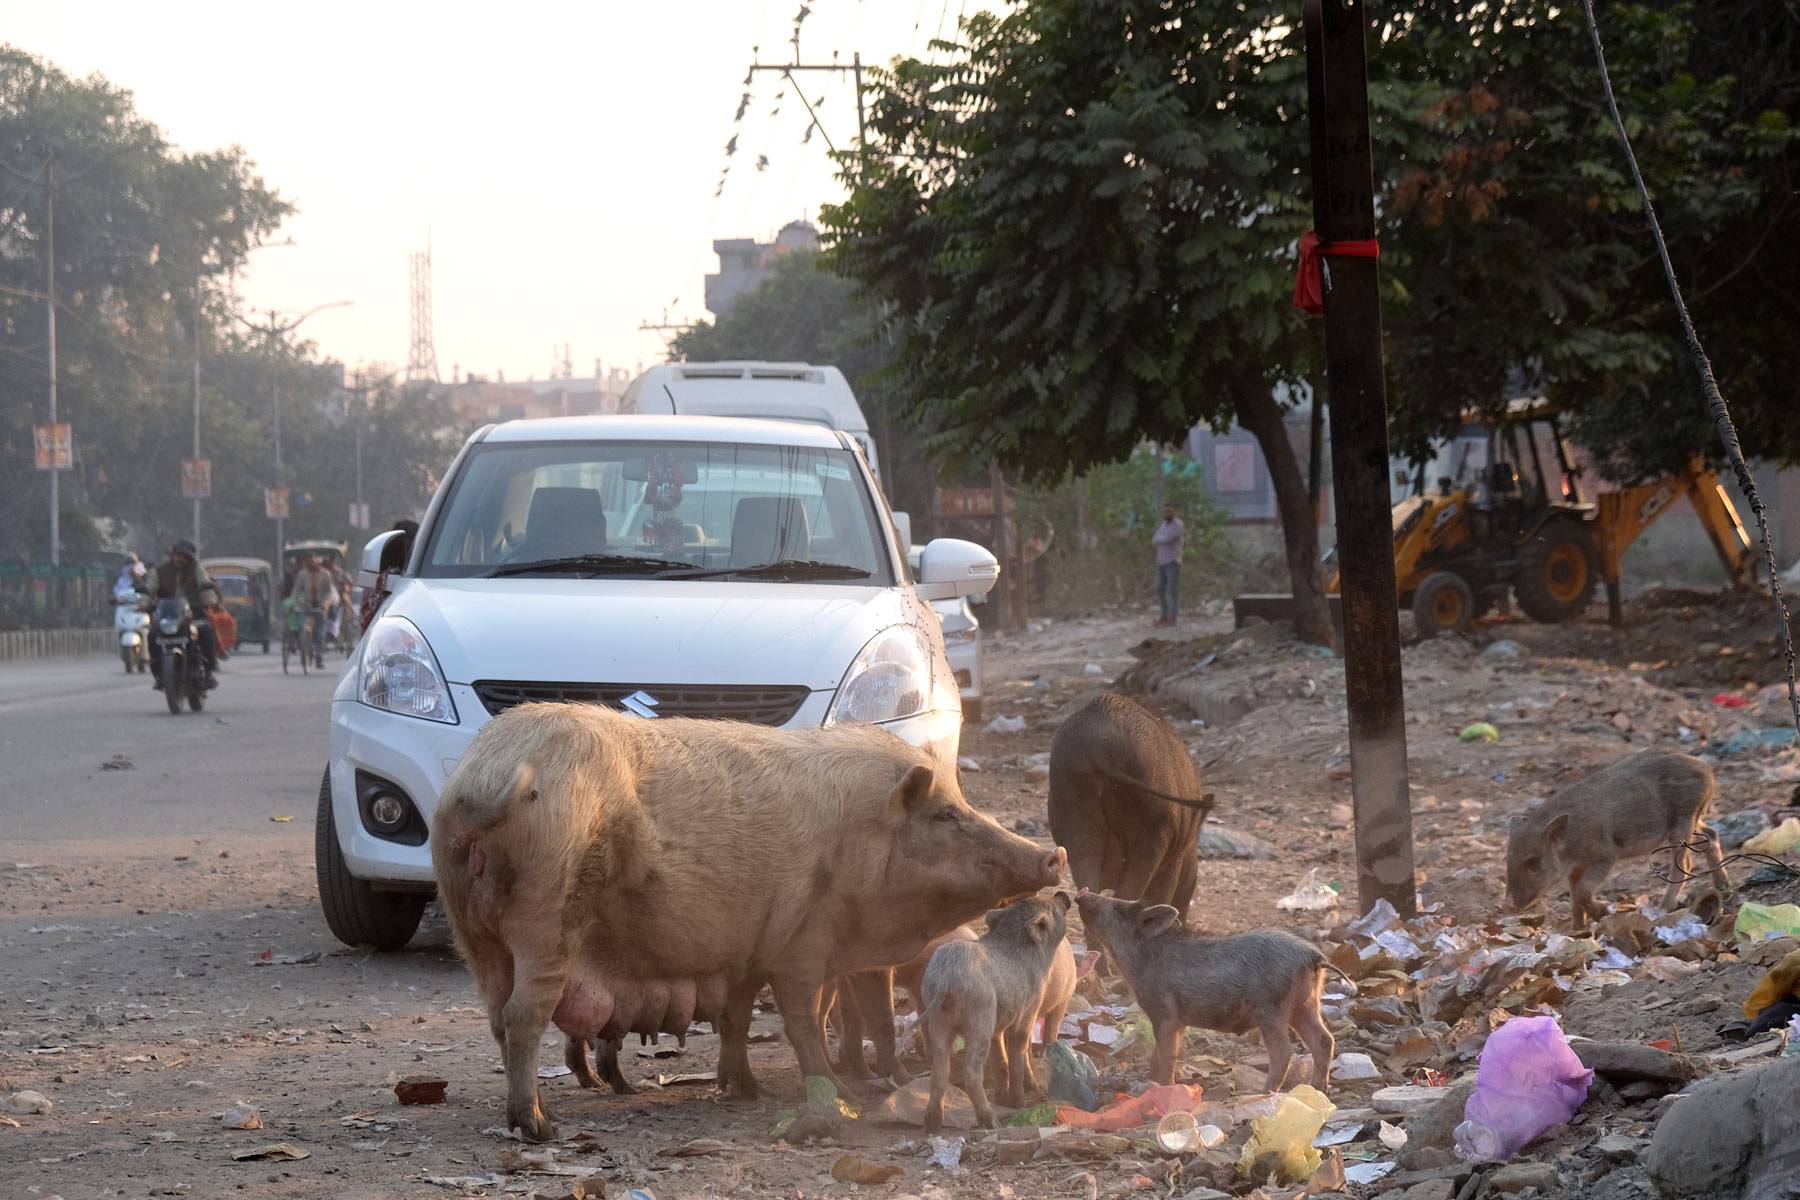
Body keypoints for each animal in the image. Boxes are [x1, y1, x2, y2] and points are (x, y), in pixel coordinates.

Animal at [428, 705, 1058, 1144]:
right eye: (947, 815)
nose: (1054, 855)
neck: (857, 840)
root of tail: (488, 777)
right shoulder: (804, 940)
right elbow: (805, 1022)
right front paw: (837, 1096)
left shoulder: (753, 949)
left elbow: (737, 1017)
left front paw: (743, 1092)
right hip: (547, 911)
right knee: (524, 1017)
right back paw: (541, 1127)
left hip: (474, 932)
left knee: (496, 1017)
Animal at [1051, 690, 1216, 913]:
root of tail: (1100, 747)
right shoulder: (1173, 863)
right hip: (1150, 836)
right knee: (1127, 896)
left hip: (1077, 825)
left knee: (1088, 890)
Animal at [1065, 892, 1339, 1101]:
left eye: (1120, 908)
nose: (1082, 894)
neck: (1141, 961)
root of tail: (1314, 957)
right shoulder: (1177, 1019)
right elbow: (1157, 1053)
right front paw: (1151, 1081)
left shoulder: (1165, 1012)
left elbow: (1167, 1054)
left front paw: (1164, 1086)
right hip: (1305, 1006)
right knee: (1324, 1040)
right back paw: (1319, 1090)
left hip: (1272, 1008)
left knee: (1284, 1052)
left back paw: (1262, 1094)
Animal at [1497, 744, 1720, 928]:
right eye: (1508, 859)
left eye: (1534, 861)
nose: (1507, 906)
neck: (1572, 842)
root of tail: (1708, 771)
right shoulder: (1574, 869)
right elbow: (1574, 898)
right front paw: (1575, 930)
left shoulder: (1605, 856)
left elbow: (1582, 892)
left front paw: (1604, 914)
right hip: (1695, 820)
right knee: (1712, 835)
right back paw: (1722, 885)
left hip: (1683, 822)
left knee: (1685, 865)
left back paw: (1663, 909)